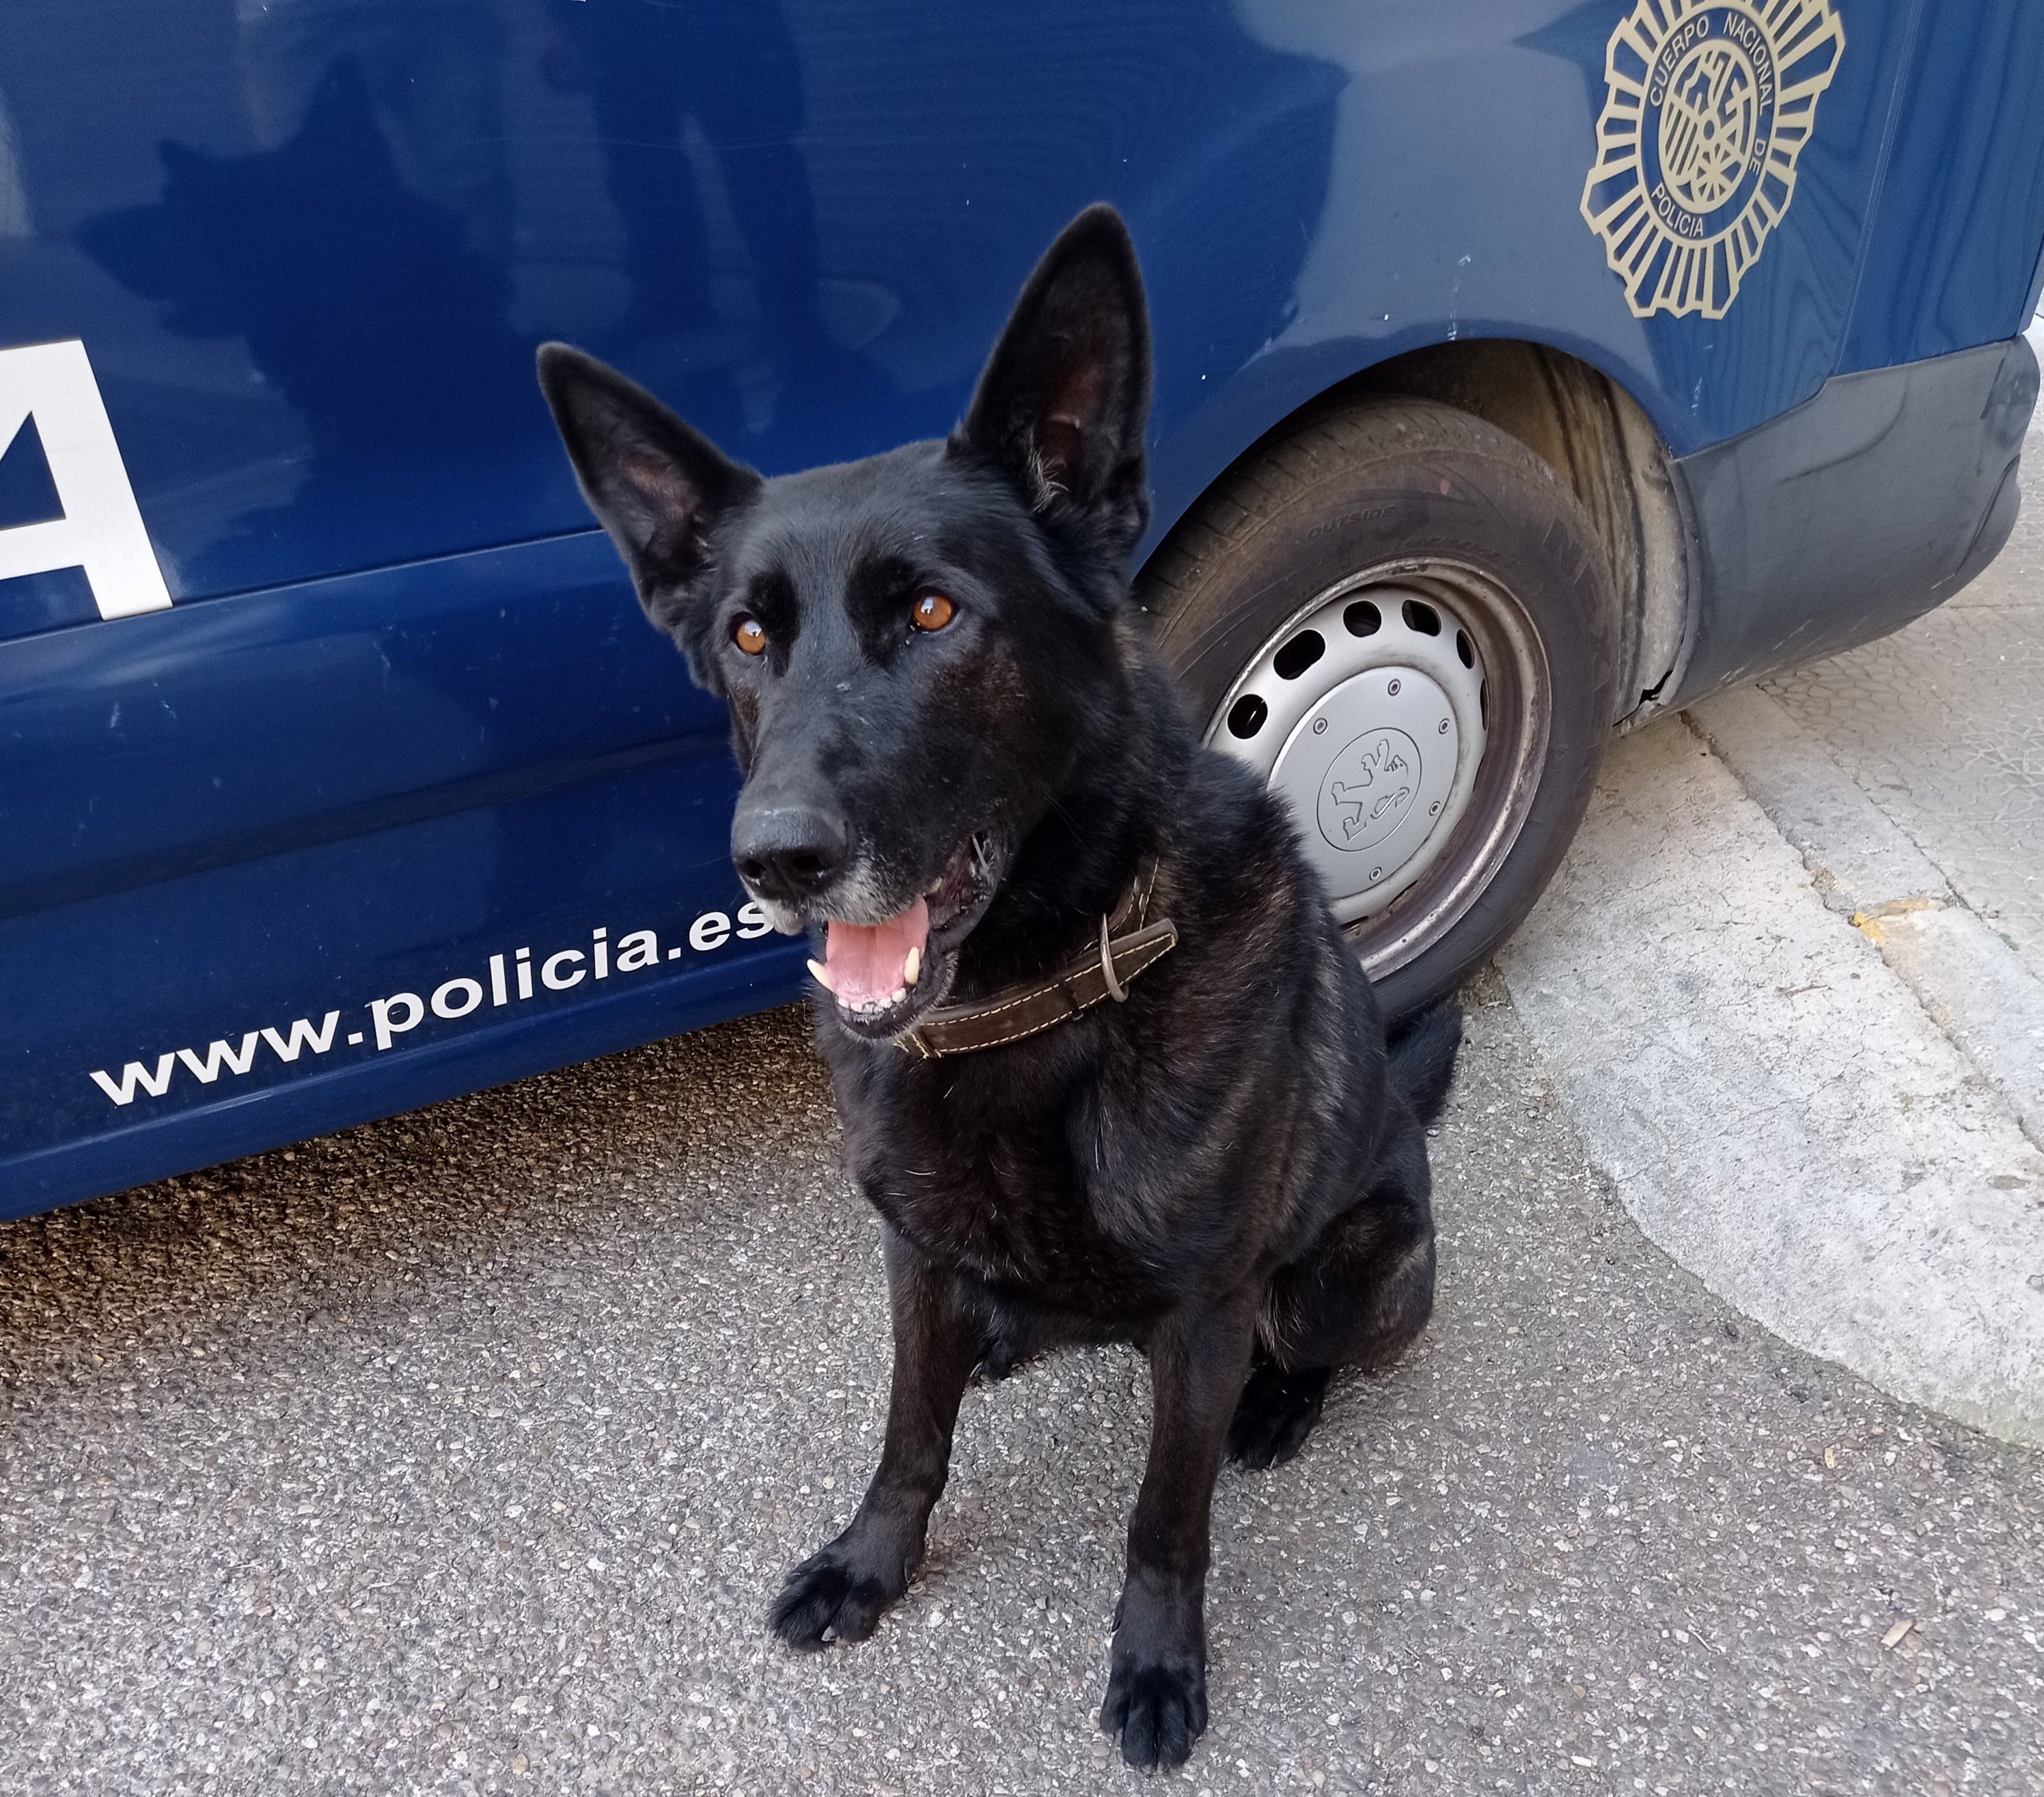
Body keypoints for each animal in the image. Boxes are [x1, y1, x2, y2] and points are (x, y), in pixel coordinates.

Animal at [535, 203, 1463, 1766]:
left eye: (929, 611)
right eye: (745, 636)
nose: (774, 857)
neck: (1025, 1013)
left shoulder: (1202, 1318)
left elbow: (1163, 1518)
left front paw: (1157, 1662)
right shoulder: (909, 1257)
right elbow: (908, 1435)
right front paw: (872, 1562)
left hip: (1357, 1266)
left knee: (1307, 1349)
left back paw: (1276, 1405)